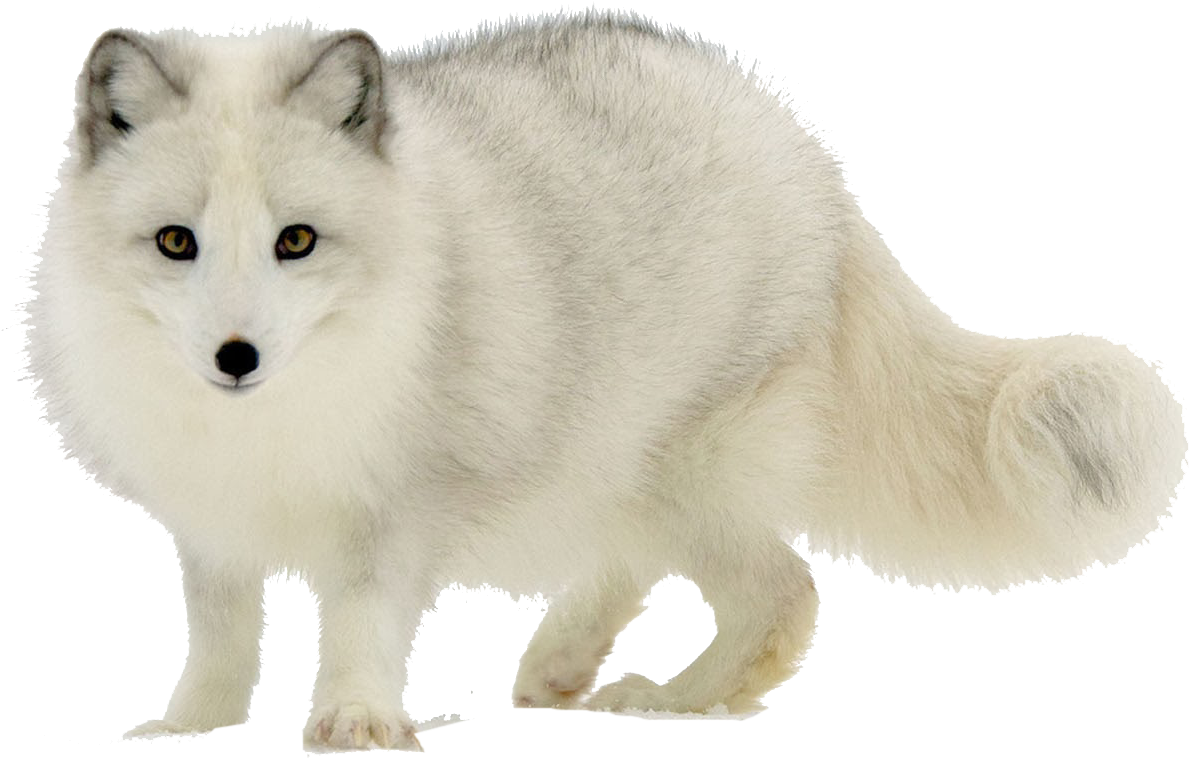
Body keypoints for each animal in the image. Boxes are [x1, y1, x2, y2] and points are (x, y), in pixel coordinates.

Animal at [23, 10, 1185, 752]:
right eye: (177, 241)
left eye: (296, 240)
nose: (236, 358)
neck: (272, 422)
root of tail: (802, 146)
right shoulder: (211, 525)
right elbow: (221, 638)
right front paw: (191, 730)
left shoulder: (398, 513)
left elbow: (359, 622)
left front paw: (353, 725)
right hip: (609, 468)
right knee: (635, 571)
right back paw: (556, 674)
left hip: (685, 471)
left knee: (785, 596)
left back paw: (666, 703)